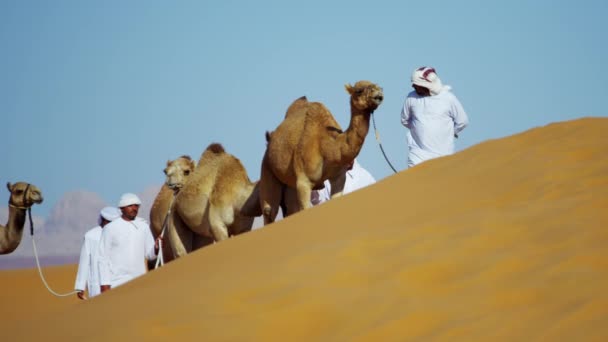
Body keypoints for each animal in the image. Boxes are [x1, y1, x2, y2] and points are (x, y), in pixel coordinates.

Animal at [258, 80, 382, 224]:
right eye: (359, 90)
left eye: (378, 86)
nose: (378, 93)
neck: (328, 147)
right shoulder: (304, 181)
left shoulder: (338, 177)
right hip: (267, 166)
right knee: (269, 210)